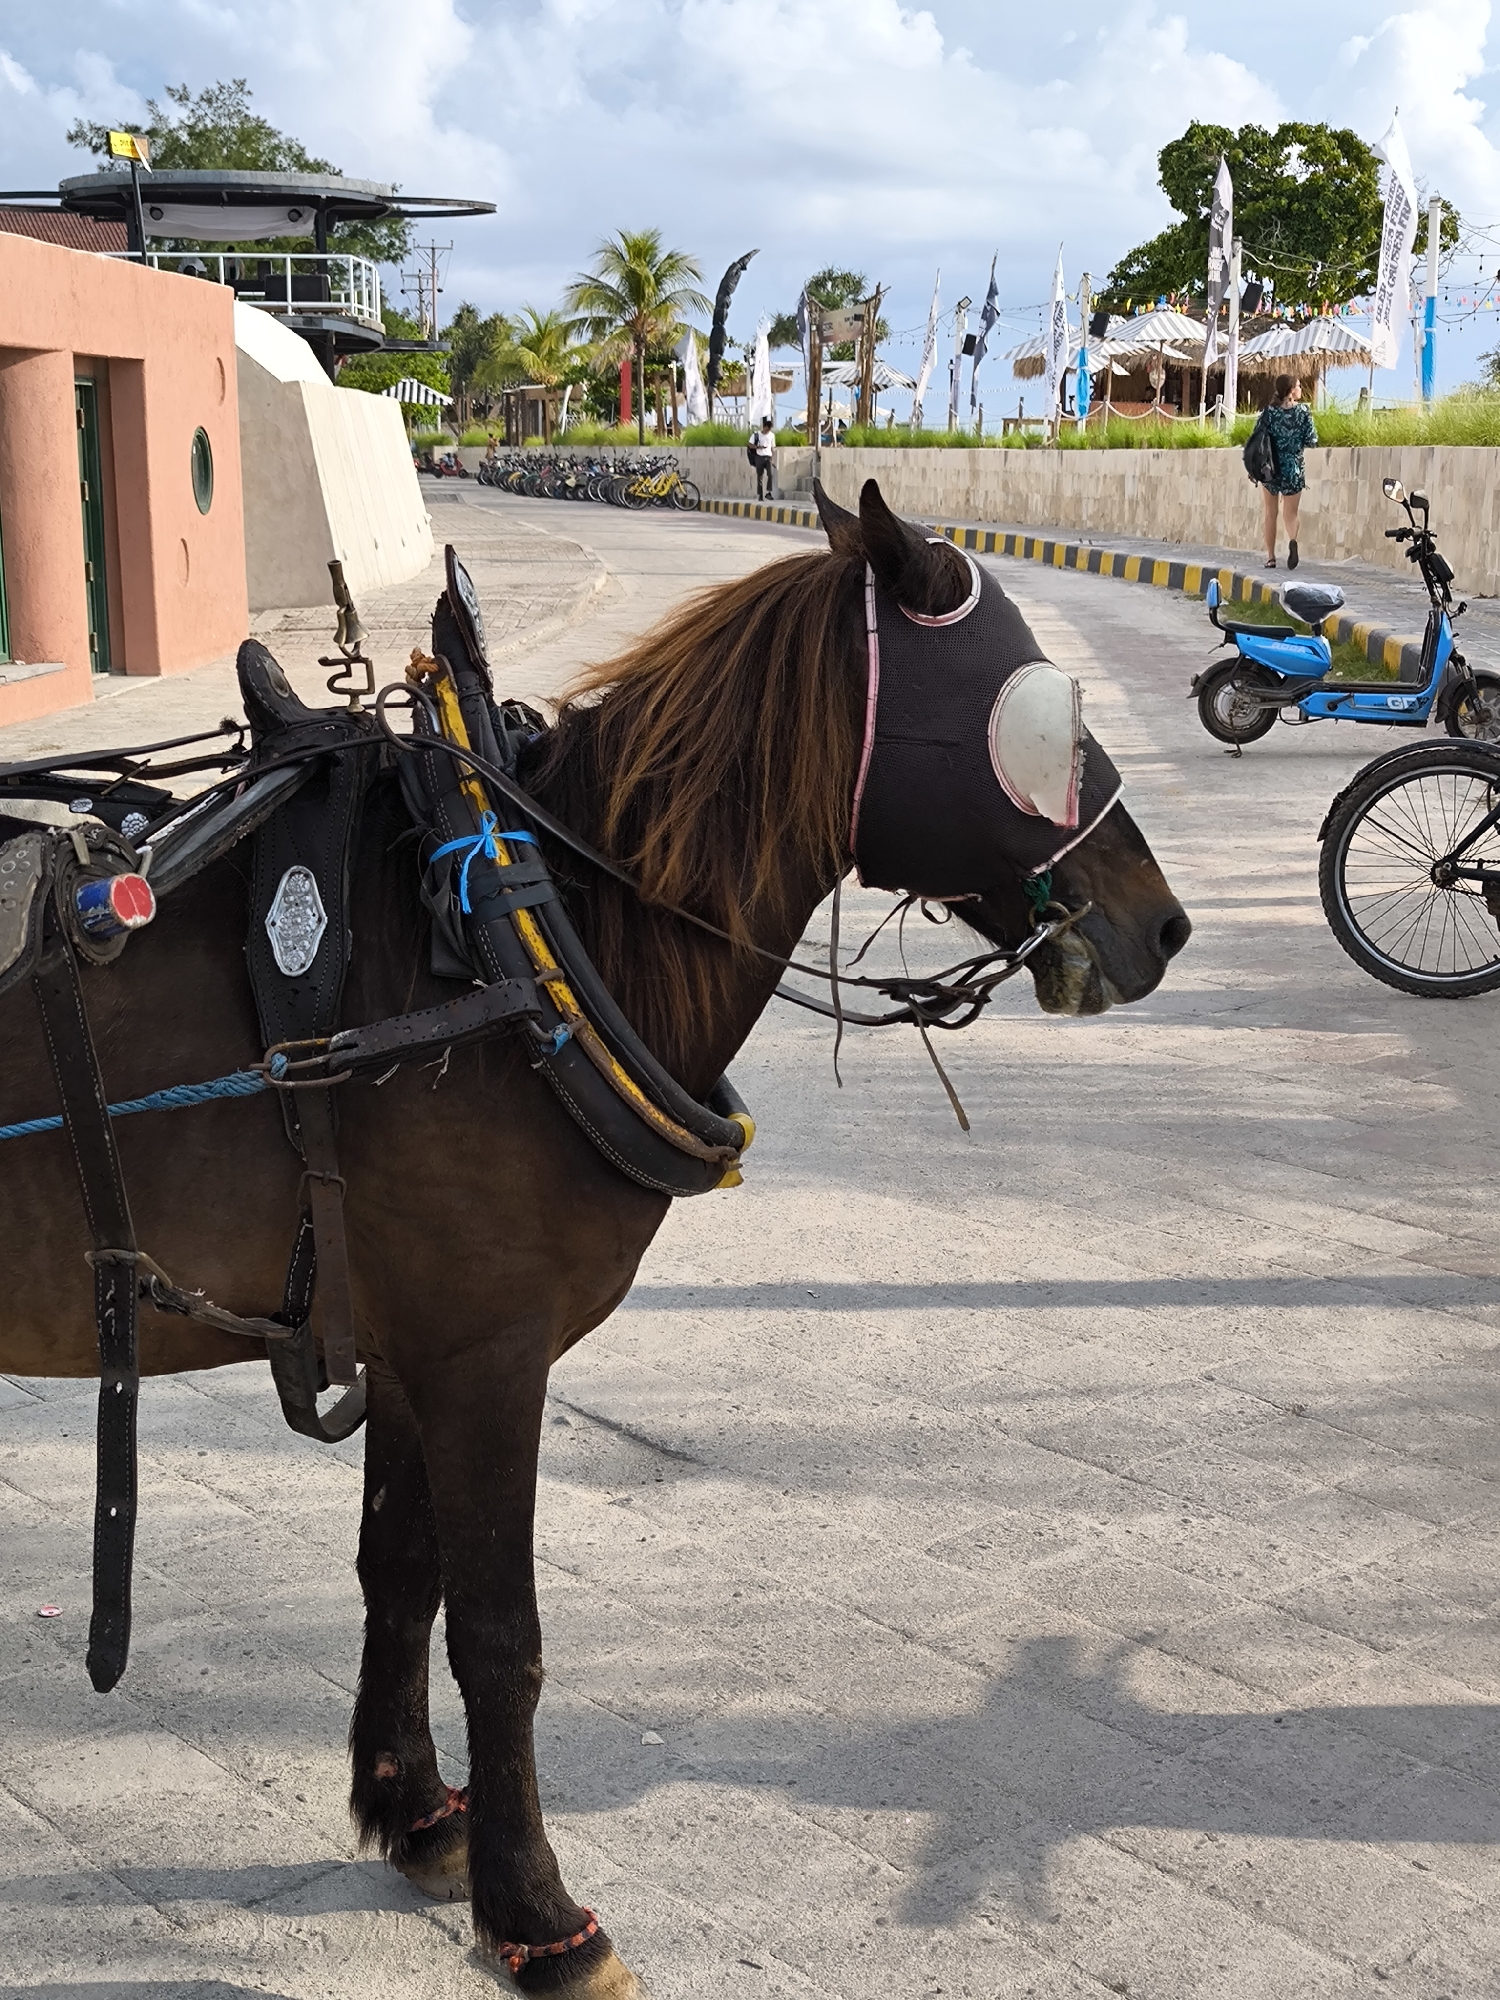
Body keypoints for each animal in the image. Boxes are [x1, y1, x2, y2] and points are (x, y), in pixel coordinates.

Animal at [0, 481, 1188, 1994]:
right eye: (1042, 711)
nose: (1164, 923)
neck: (515, 936)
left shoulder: (417, 1348)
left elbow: (404, 1574)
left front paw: (416, 1810)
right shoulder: (490, 1356)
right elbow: (502, 1637)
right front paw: (540, 1913)